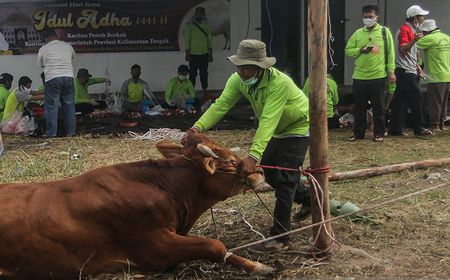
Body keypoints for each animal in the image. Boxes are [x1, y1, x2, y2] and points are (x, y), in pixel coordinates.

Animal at [0, 132, 274, 278]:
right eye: (228, 160)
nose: (259, 171)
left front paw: (260, 266)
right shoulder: (155, 247)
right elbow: (215, 245)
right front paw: (258, 267)